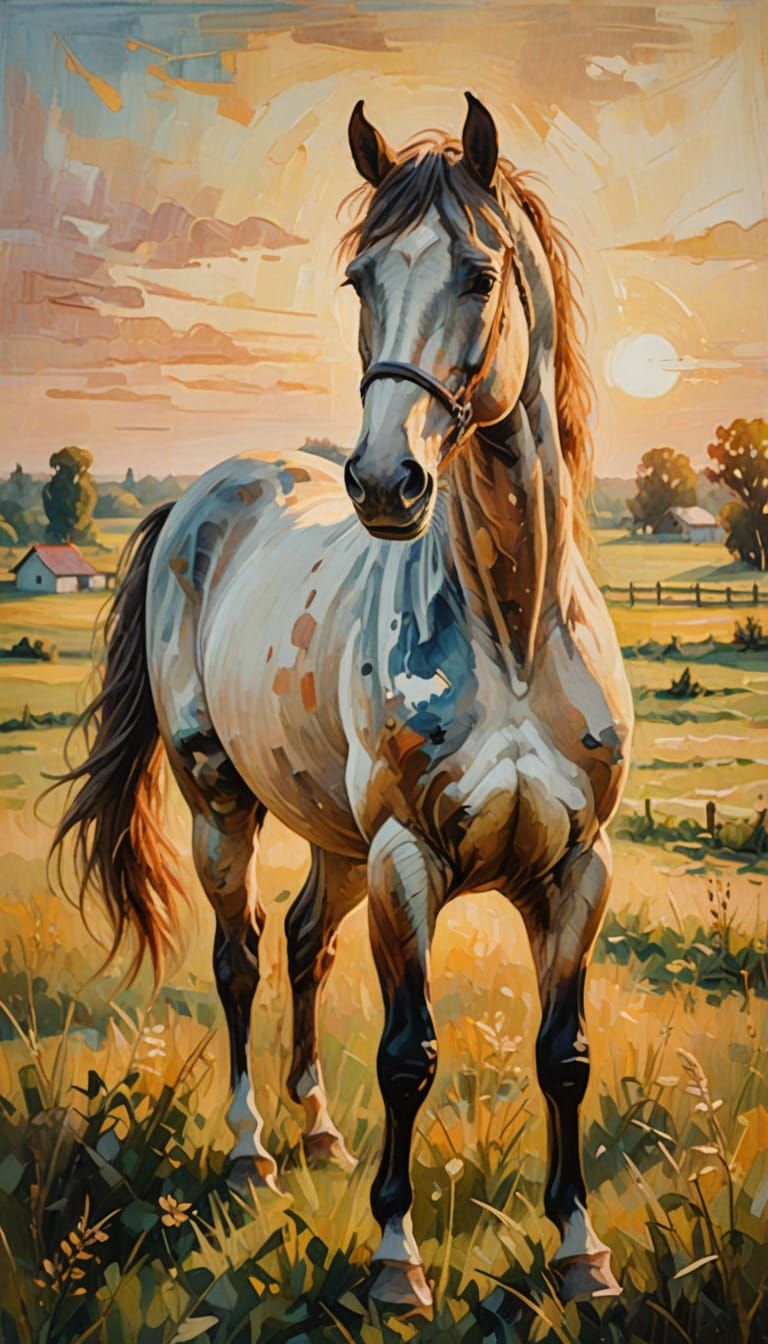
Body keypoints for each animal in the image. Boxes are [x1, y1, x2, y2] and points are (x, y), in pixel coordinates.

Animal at [52, 93, 633, 1310]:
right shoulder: (410, 858)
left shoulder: (576, 868)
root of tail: (208, 493)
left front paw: (581, 1254)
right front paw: (395, 1267)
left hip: (337, 839)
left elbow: (564, 1057)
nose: (381, 484)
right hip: (224, 808)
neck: (514, 633)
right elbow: (409, 1055)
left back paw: (317, 1135)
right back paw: (251, 1155)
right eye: (361, 277)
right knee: (240, 960)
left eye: (479, 273)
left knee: (308, 944)